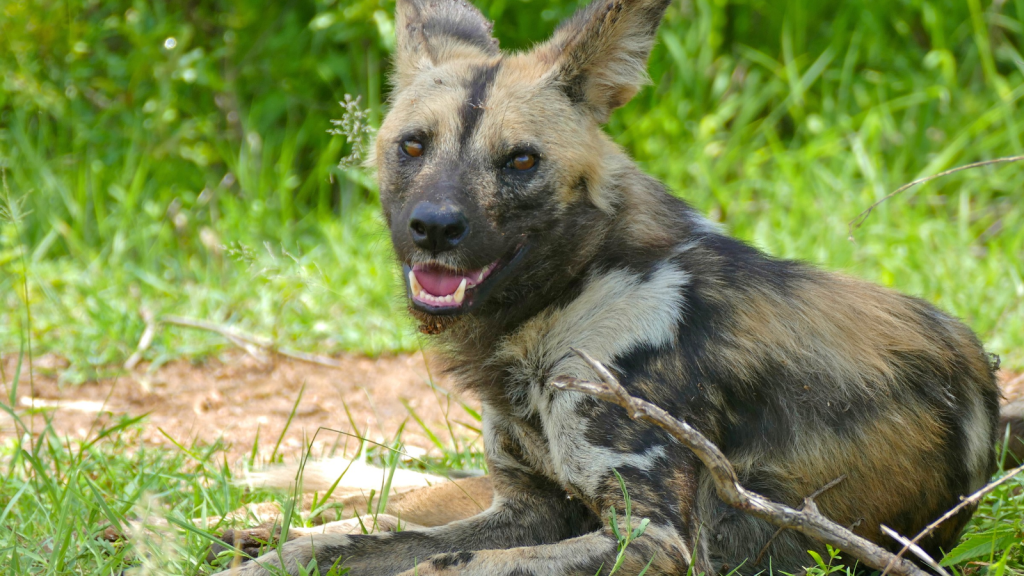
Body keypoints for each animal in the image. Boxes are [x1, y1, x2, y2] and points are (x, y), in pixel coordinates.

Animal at [214, 0, 999, 569]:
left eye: (521, 160)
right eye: (412, 146)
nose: (434, 227)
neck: (559, 307)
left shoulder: (649, 537)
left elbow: (455, 565)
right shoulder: (525, 509)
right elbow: (345, 548)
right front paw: (273, 550)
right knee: (377, 507)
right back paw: (253, 522)